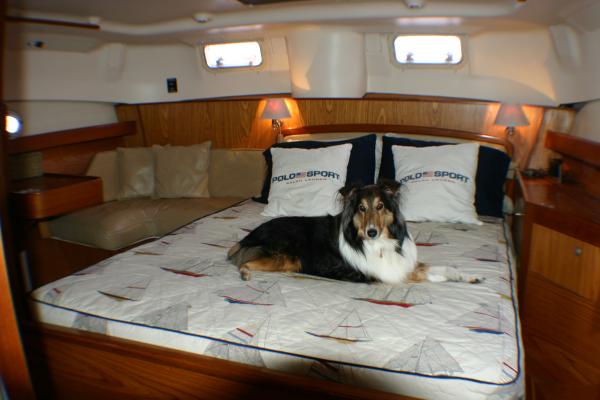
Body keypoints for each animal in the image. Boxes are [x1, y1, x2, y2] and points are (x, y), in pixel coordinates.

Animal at [229, 178, 482, 284]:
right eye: (361, 208)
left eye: (380, 206)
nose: (371, 232)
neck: (379, 244)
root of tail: (250, 234)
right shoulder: (382, 273)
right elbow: (425, 275)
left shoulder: (403, 262)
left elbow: (442, 268)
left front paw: (469, 276)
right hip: (287, 256)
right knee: (244, 262)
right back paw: (244, 274)